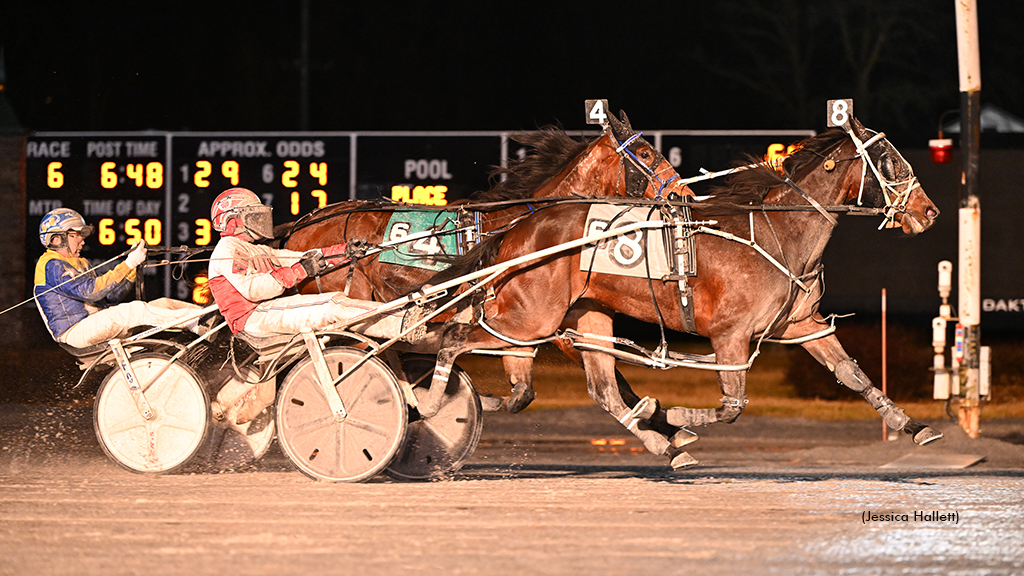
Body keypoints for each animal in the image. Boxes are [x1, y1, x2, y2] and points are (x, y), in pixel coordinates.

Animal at [423, 118, 942, 469]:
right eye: (891, 160)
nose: (930, 212)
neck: (778, 232)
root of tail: (518, 228)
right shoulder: (729, 335)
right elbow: (732, 407)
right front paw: (671, 413)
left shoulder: (800, 325)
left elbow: (853, 375)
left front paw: (913, 427)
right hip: (530, 316)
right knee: (454, 339)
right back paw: (430, 404)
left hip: (571, 318)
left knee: (565, 389)